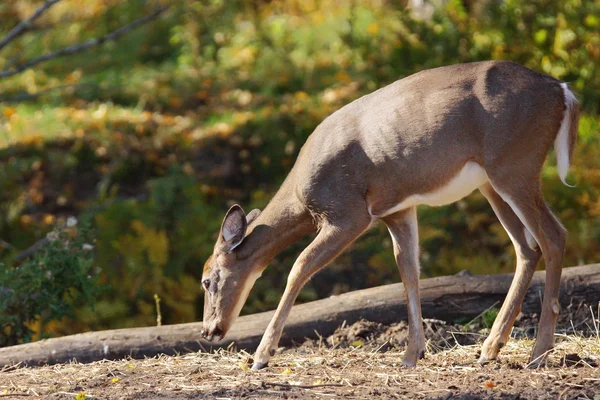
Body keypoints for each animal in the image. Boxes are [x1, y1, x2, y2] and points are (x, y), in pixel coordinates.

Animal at [199, 61, 580, 370]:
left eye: (207, 280)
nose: (207, 331)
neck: (300, 197)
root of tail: (562, 91)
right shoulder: (397, 209)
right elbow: (408, 270)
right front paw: (412, 354)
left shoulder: (348, 213)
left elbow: (299, 267)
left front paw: (262, 356)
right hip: (491, 181)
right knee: (526, 248)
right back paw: (490, 349)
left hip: (514, 164)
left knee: (554, 235)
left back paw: (538, 354)